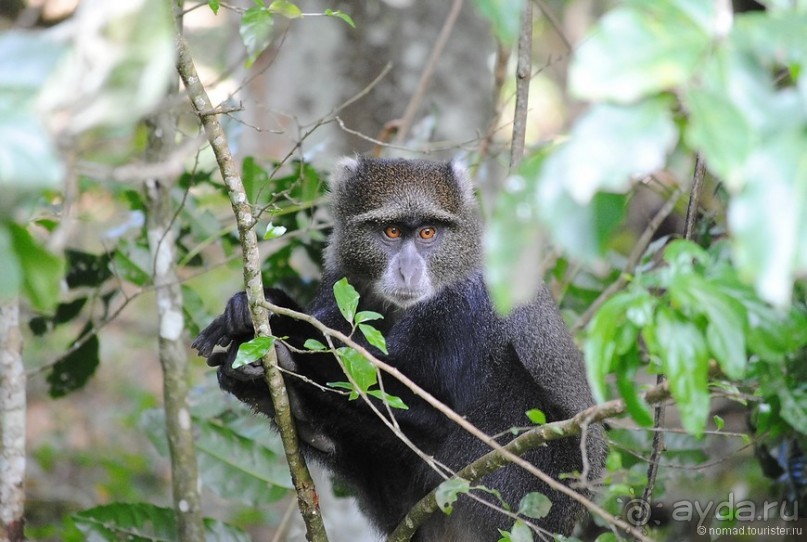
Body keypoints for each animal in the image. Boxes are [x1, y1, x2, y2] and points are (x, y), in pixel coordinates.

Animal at [191, 157, 608, 542]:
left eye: (428, 232)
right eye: (391, 231)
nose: (408, 271)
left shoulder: (464, 309)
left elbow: (426, 407)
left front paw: (280, 324)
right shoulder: (343, 281)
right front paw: (248, 320)